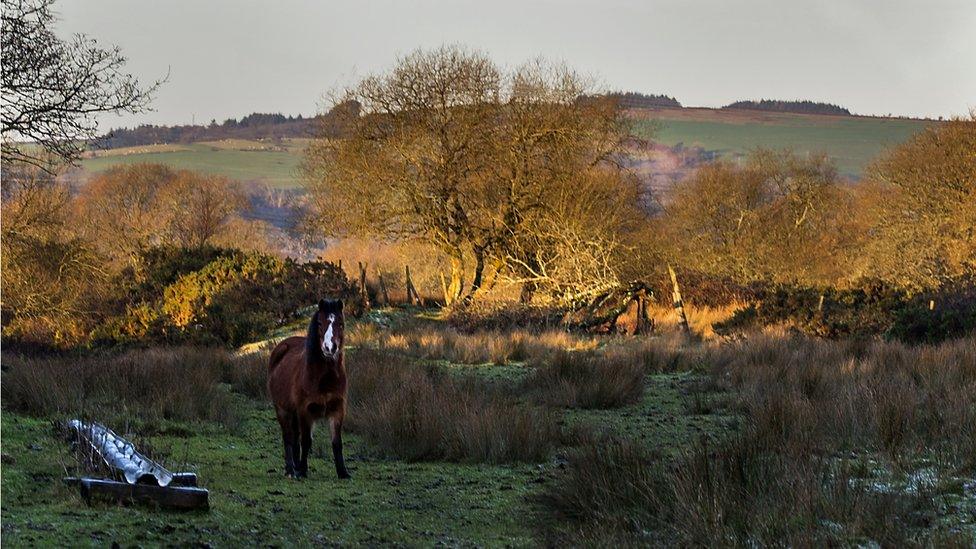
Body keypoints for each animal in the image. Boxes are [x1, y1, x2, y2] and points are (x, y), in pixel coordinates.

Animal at [266, 298, 350, 478]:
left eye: (340, 323)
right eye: (319, 323)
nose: (329, 347)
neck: (325, 379)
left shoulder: (337, 410)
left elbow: (336, 442)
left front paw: (343, 472)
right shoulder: (305, 410)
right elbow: (306, 441)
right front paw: (303, 470)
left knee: (294, 437)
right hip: (282, 410)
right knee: (288, 437)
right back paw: (291, 470)